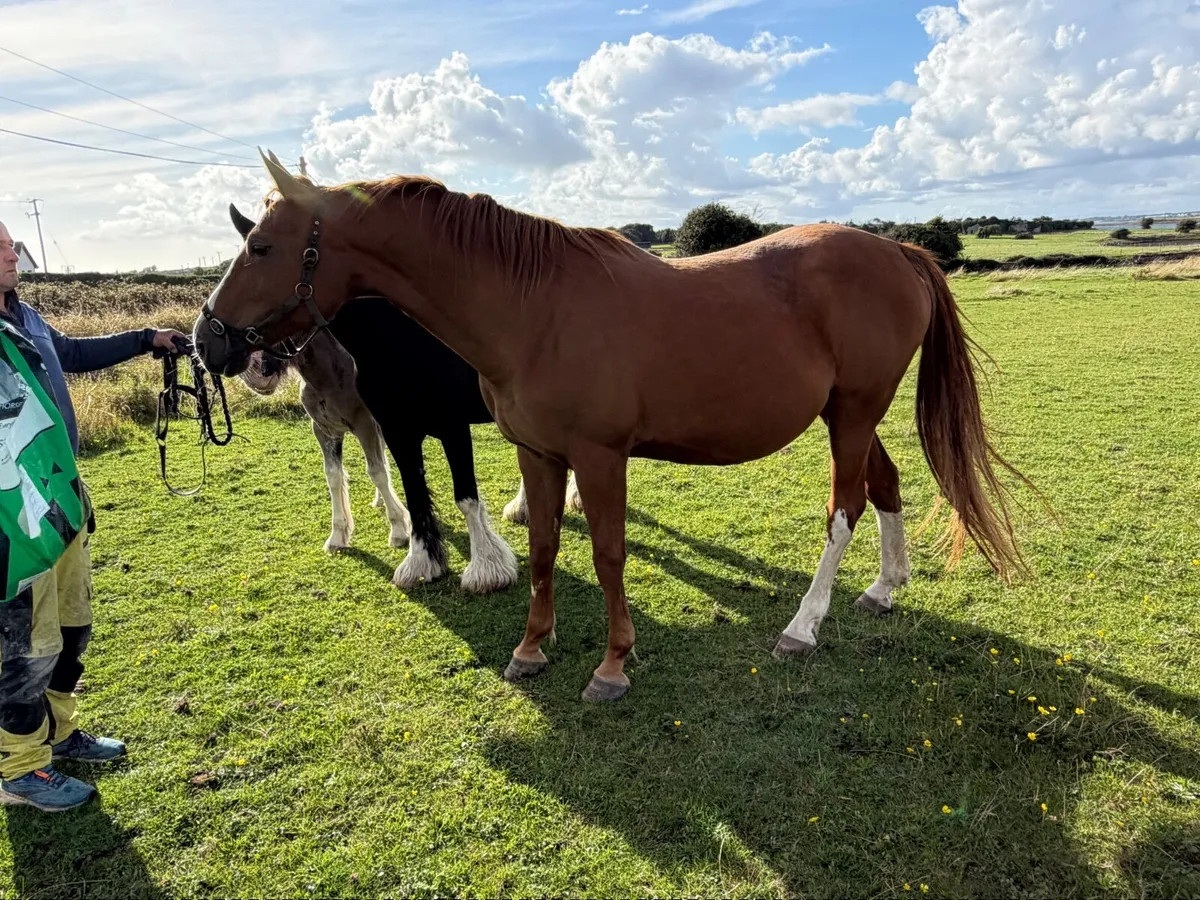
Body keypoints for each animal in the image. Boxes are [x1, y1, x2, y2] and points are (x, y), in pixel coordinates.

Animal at [193, 150, 1030, 703]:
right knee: (884, 486)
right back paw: (884, 588)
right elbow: (540, 550)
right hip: (849, 411)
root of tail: (896, 249)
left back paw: (804, 625)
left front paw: (612, 664)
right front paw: (531, 648)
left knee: (844, 507)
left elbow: (606, 554)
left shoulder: (598, 458)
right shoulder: (536, 453)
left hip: (853, 412)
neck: (531, 307)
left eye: (260, 246)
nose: (208, 340)